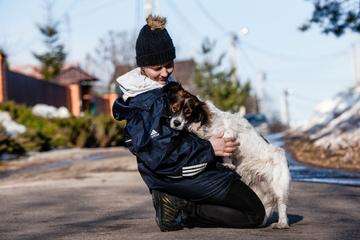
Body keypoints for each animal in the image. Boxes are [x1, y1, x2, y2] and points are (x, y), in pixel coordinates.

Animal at [165, 83, 292, 230]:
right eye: (174, 108)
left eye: (188, 112)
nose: (176, 123)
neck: (204, 121)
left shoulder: (229, 135)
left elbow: (227, 152)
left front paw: (228, 164)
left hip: (279, 186)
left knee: (281, 204)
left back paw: (282, 223)